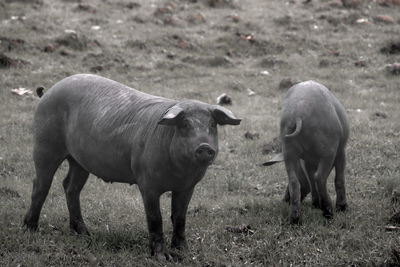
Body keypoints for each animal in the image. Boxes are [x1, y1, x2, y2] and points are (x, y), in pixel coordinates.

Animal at [22, 74, 241, 260]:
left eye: (212, 125)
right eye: (185, 124)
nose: (204, 147)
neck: (180, 173)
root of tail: (48, 92)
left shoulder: (188, 187)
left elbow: (179, 218)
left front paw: (184, 254)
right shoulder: (147, 183)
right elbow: (155, 218)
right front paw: (162, 258)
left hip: (79, 160)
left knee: (70, 187)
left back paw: (85, 234)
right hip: (44, 145)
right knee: (40, 185)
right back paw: (30, 229)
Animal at [262, 80, 346, 225]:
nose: (284, 200)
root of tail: (297, 115)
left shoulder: (307, 160)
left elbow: (309, 178)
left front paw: (315, 205)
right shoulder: (341, 151)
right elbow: (338, 178)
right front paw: (342, 208)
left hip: (288, 149)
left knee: (294, 181)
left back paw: (295, 220)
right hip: (328, 150)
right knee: (320, 177)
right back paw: (329, 213)